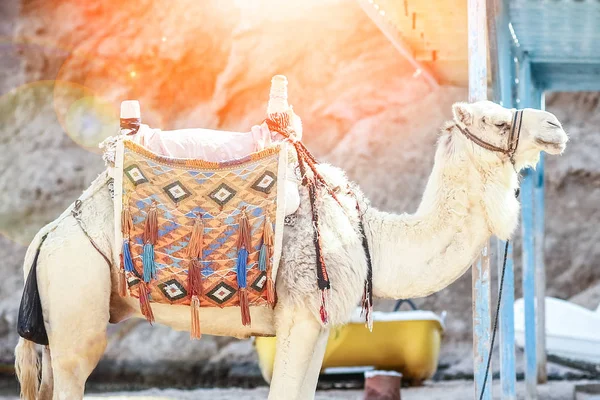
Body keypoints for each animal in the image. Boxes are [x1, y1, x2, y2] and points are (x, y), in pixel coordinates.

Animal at [12, 94, 568, 400]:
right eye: (498, 121)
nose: (556, 125)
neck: (368, 236)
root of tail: (49, 232)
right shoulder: (301, 313)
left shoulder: (317, 324)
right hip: (77, 295)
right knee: (74, 375)